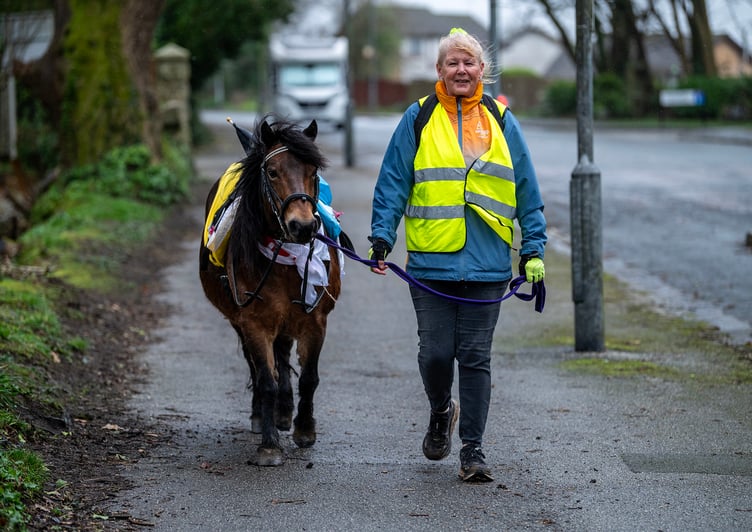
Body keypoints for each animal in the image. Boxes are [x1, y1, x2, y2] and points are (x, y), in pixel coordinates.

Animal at [199, 116, 342, 466]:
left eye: (313, 172)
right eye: (273, 172)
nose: (302, 226)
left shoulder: (315, 319)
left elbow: (309, 377)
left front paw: (304, 430)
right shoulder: (253, 321)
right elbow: (266, 379)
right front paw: (269, 445)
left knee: (284, 352)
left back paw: (285, 412)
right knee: (259, 364)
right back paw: (263, 415)